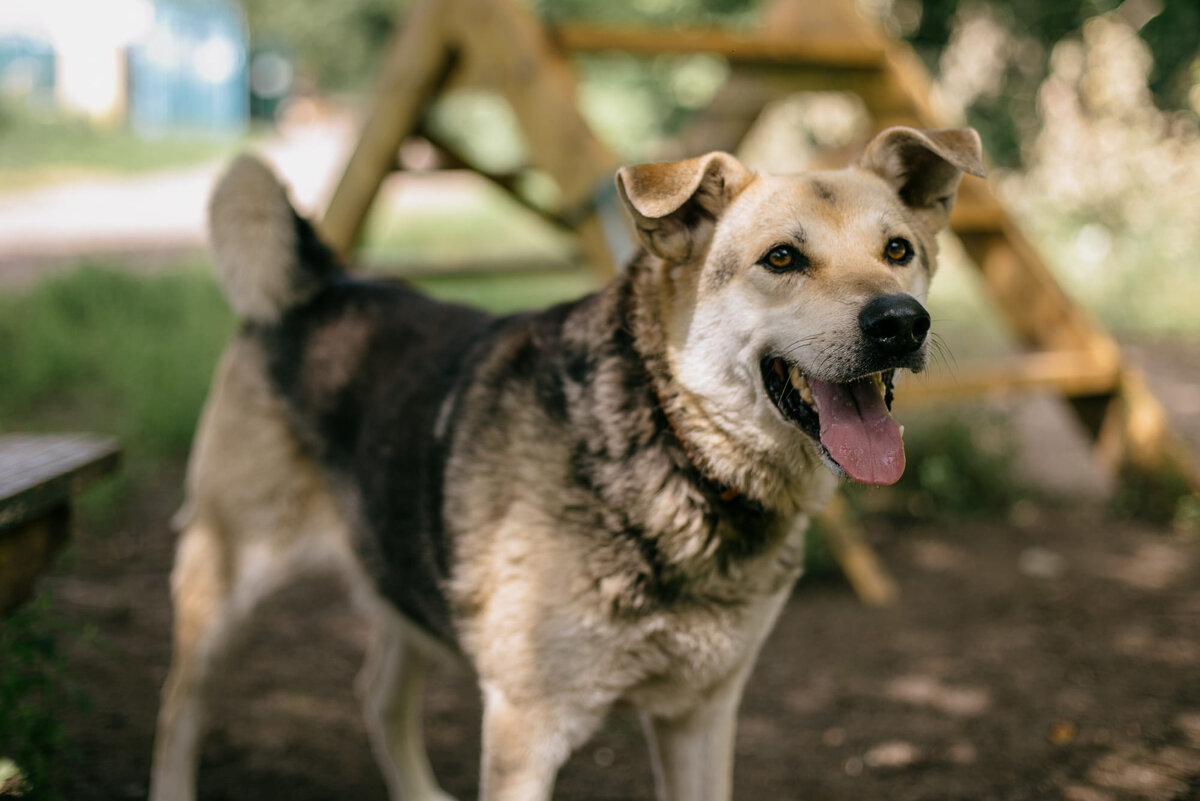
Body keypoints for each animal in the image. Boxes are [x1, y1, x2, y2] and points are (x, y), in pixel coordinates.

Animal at [145, 126, 979, 801]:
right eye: (782, 258)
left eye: (898, 251)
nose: (901, 322)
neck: (673, 445)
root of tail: (321, 285)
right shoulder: (526, 730)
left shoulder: (702, 716)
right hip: (223, 581)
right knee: (178, 708)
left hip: (404, 573)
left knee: (377, 694)